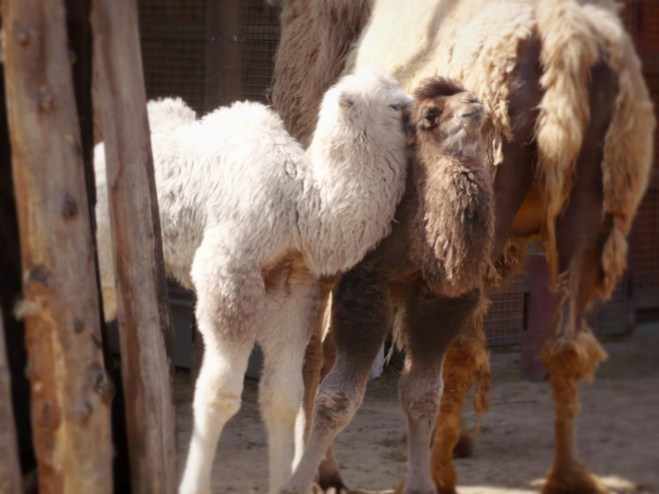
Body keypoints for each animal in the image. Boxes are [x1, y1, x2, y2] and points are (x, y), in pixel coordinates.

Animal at [94, 70, 412, 494]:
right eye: (395, 105)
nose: (426, 115)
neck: (302, 205)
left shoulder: (294, 288)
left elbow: (282, 397)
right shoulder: (227, 274)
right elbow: (219, 394)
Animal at [271, 0, 656, 493]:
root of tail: (567, 42)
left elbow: (326, 350)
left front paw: (323, 473)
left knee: (435, 352)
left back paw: (431, 469)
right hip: (591, 204)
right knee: (565, 345)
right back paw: (566, 473)